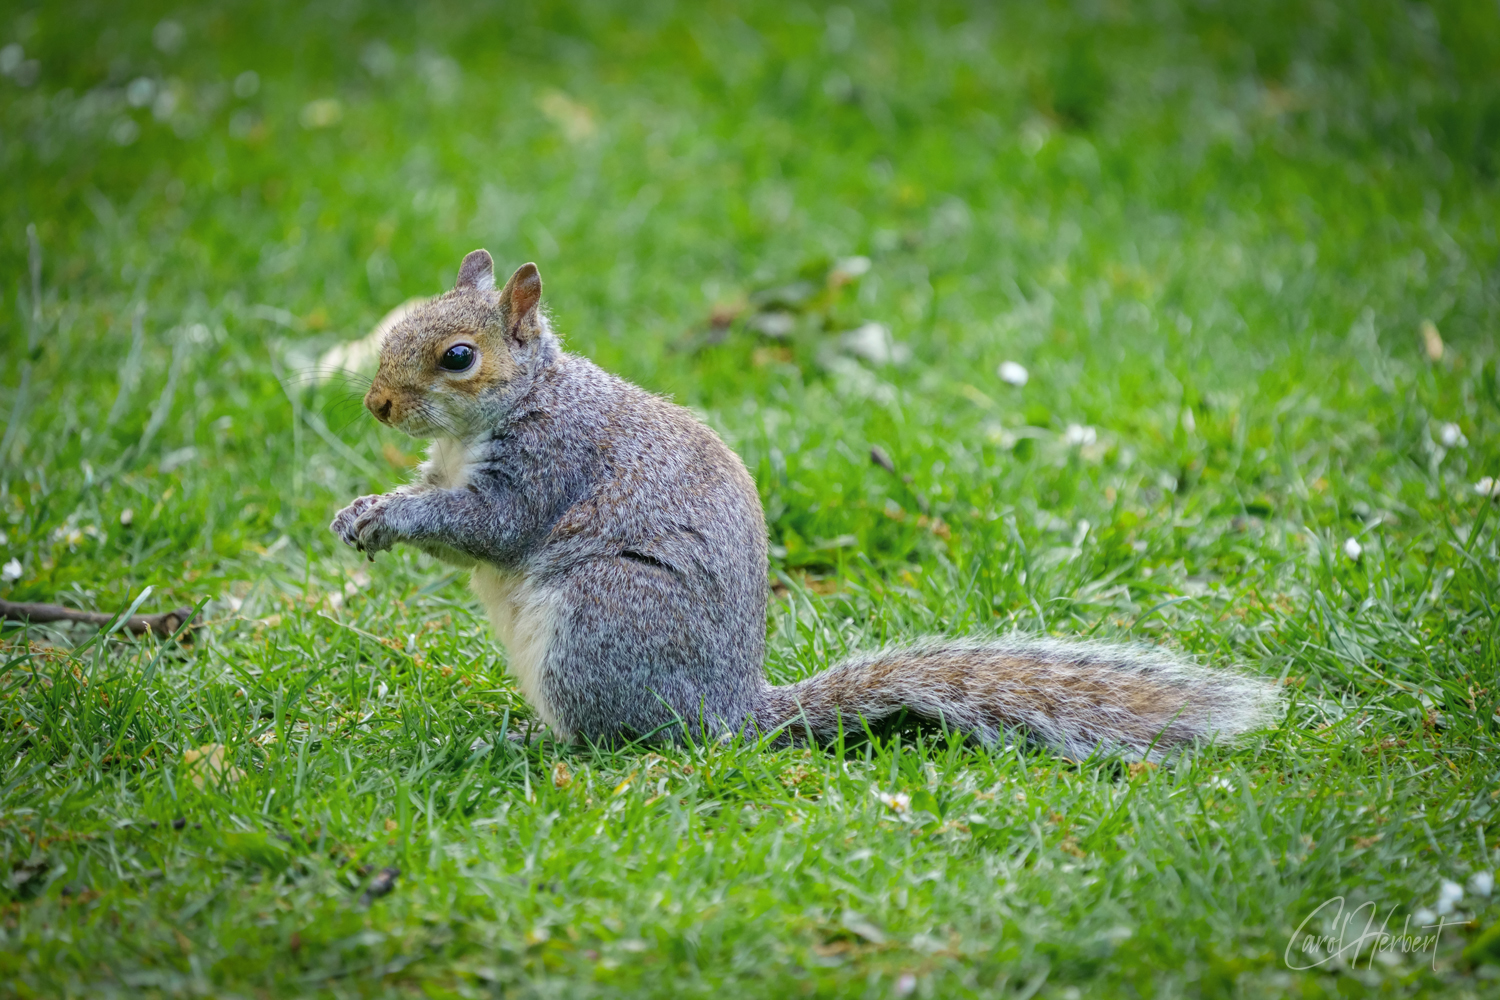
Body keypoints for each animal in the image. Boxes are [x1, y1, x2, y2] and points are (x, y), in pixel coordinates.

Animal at [328, 250, 1278, 758]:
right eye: (400, 323)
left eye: (457, 356)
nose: (376, 405)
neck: (512, 405)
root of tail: (727, 712)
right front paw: (361, 507)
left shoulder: (549, 462)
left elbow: (487, 528)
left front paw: (390, 521)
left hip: (602, 620)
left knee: (618, 739)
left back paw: (533, 742)